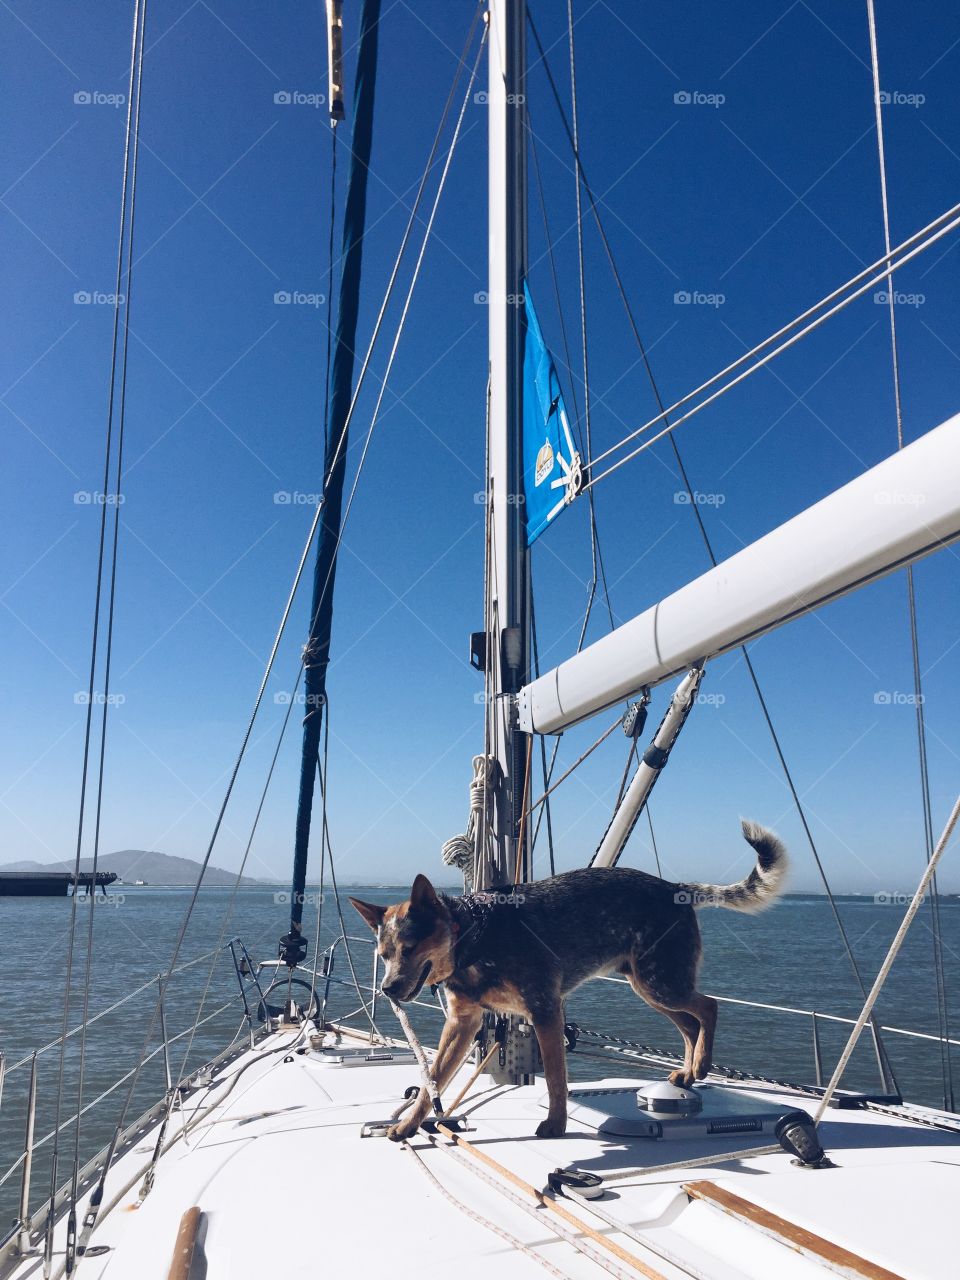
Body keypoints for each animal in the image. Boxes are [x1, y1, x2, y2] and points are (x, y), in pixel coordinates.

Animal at [353, 819, 788, 1141]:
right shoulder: (463, 1023)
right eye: (383, 954)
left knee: (708, 1007)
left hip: (661, 980)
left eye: (410, 948)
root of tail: (675, 888)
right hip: (649, 985)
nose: (387, 989)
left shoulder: (545, 1009)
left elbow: (555, 1078)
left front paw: (556, 1125)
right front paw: (408, 1125)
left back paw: (702, 1062)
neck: (473, 936)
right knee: (689, 1024)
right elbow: (432, 1082)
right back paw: (690, 1069)